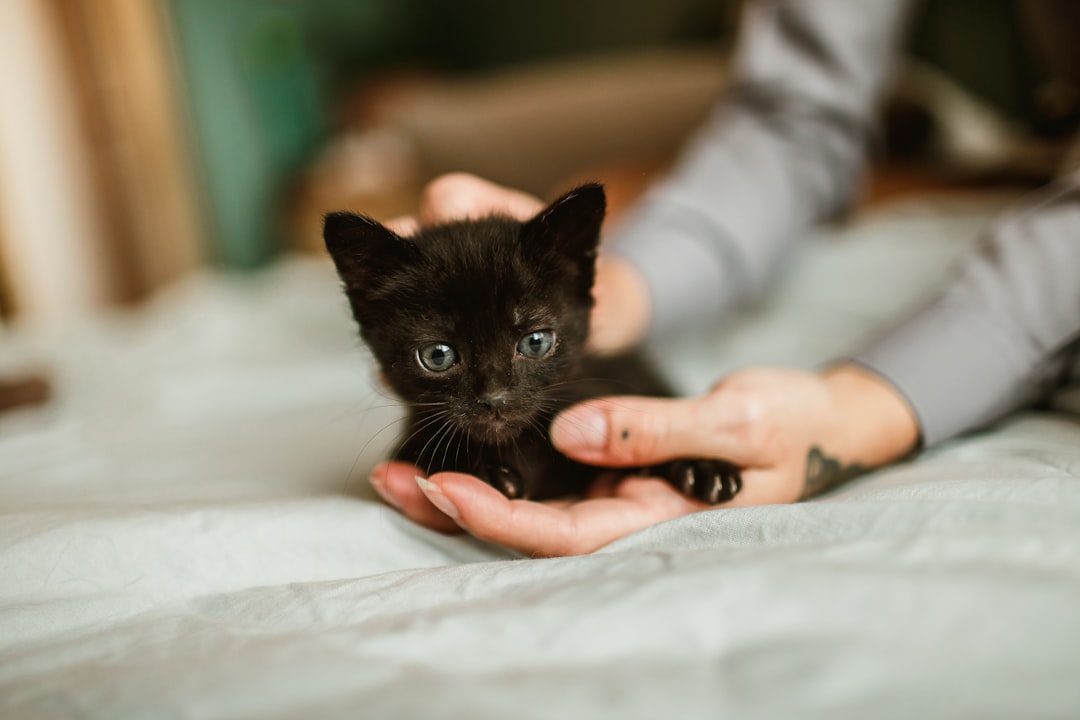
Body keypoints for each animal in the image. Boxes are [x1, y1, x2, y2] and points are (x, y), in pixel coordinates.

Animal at [321, 183, 743, 505]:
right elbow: (427, 447)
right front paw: (481, 470)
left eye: (536, 342)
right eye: (437, 356)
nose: (495, 399)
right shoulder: (408, 440)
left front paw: (701, 465)